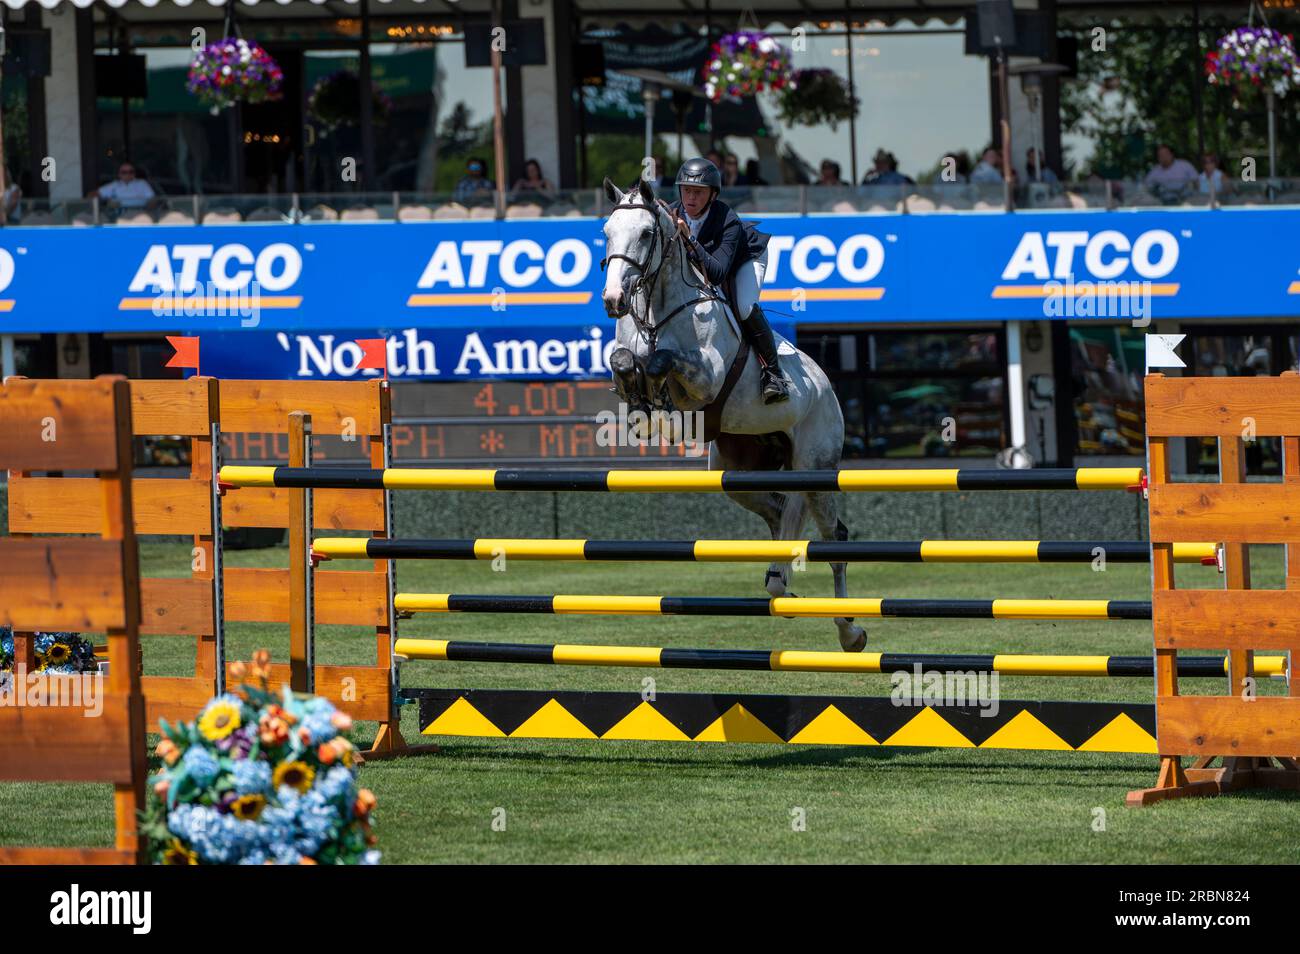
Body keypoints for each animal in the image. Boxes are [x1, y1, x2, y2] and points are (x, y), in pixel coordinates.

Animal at [603, 178, 868, 657]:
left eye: (647, 234)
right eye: (606, 233)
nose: (613, 300)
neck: (659, 308)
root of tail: (826, 387)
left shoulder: (705, 377)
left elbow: (663, 361)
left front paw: (657, 401)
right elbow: (623, 359)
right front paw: (639, 405)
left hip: (816, 468)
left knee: (835, 537)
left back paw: (850, 631)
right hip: (738, 471)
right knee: (779, 513)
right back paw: (781, 585)